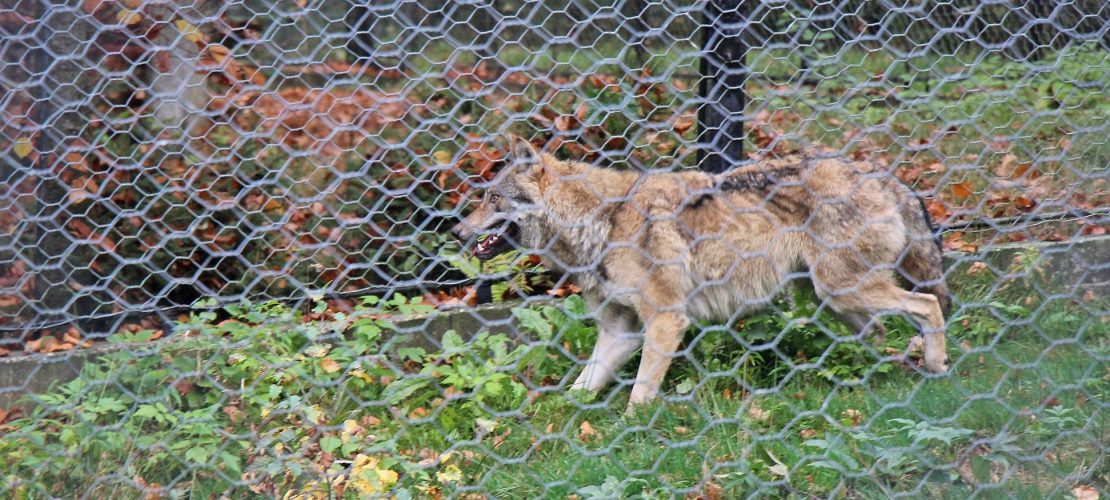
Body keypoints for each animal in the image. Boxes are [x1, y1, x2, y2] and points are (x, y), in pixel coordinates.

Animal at [451, 136, 950, 410]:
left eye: (491, 199)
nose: (456, 231)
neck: (602, 221)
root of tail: (881, 173)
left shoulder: (666, 321)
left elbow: (639, 394)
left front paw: (632, 435)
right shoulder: (621, 332)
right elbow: (578, 389)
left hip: (844, 290)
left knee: (927, 305)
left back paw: (935, 365)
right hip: (836, 300)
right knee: (881, 332)